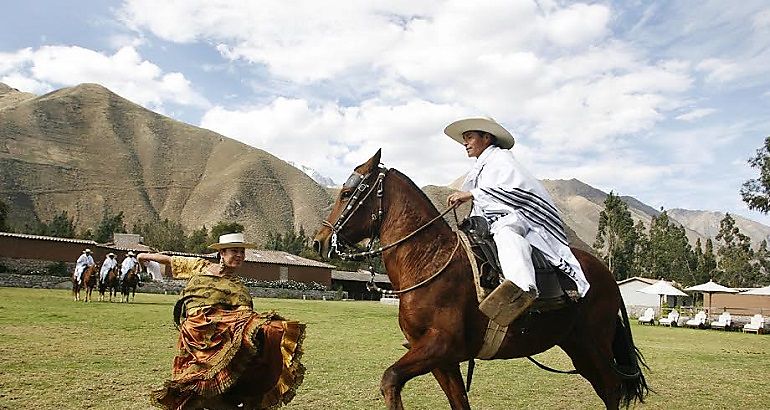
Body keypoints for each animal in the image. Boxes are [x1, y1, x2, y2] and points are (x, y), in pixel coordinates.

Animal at [314, 151, 648, 410]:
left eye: (347, 193)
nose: (319, 241)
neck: (428, 260)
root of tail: (607, 275)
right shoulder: (442, 360)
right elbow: (459, 402)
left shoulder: (439, 345)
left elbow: (390, 379)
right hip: (578, 346)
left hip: (595, 347)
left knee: (612, 389)